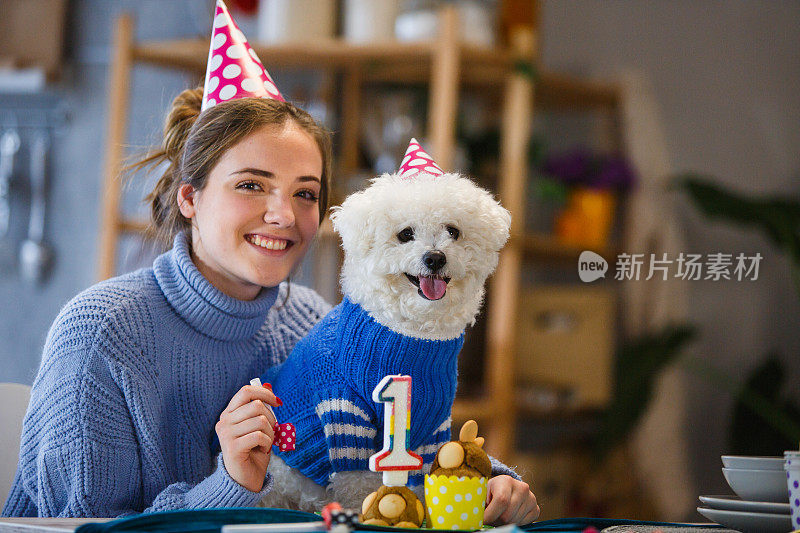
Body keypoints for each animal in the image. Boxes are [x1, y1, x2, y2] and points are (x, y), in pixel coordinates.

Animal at [262, 167, 512, 512]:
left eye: (453, 231)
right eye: (405, 234)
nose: (435, 258)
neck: (411, 334)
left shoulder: (432, 425)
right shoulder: (345, 413)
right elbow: (357, 484)